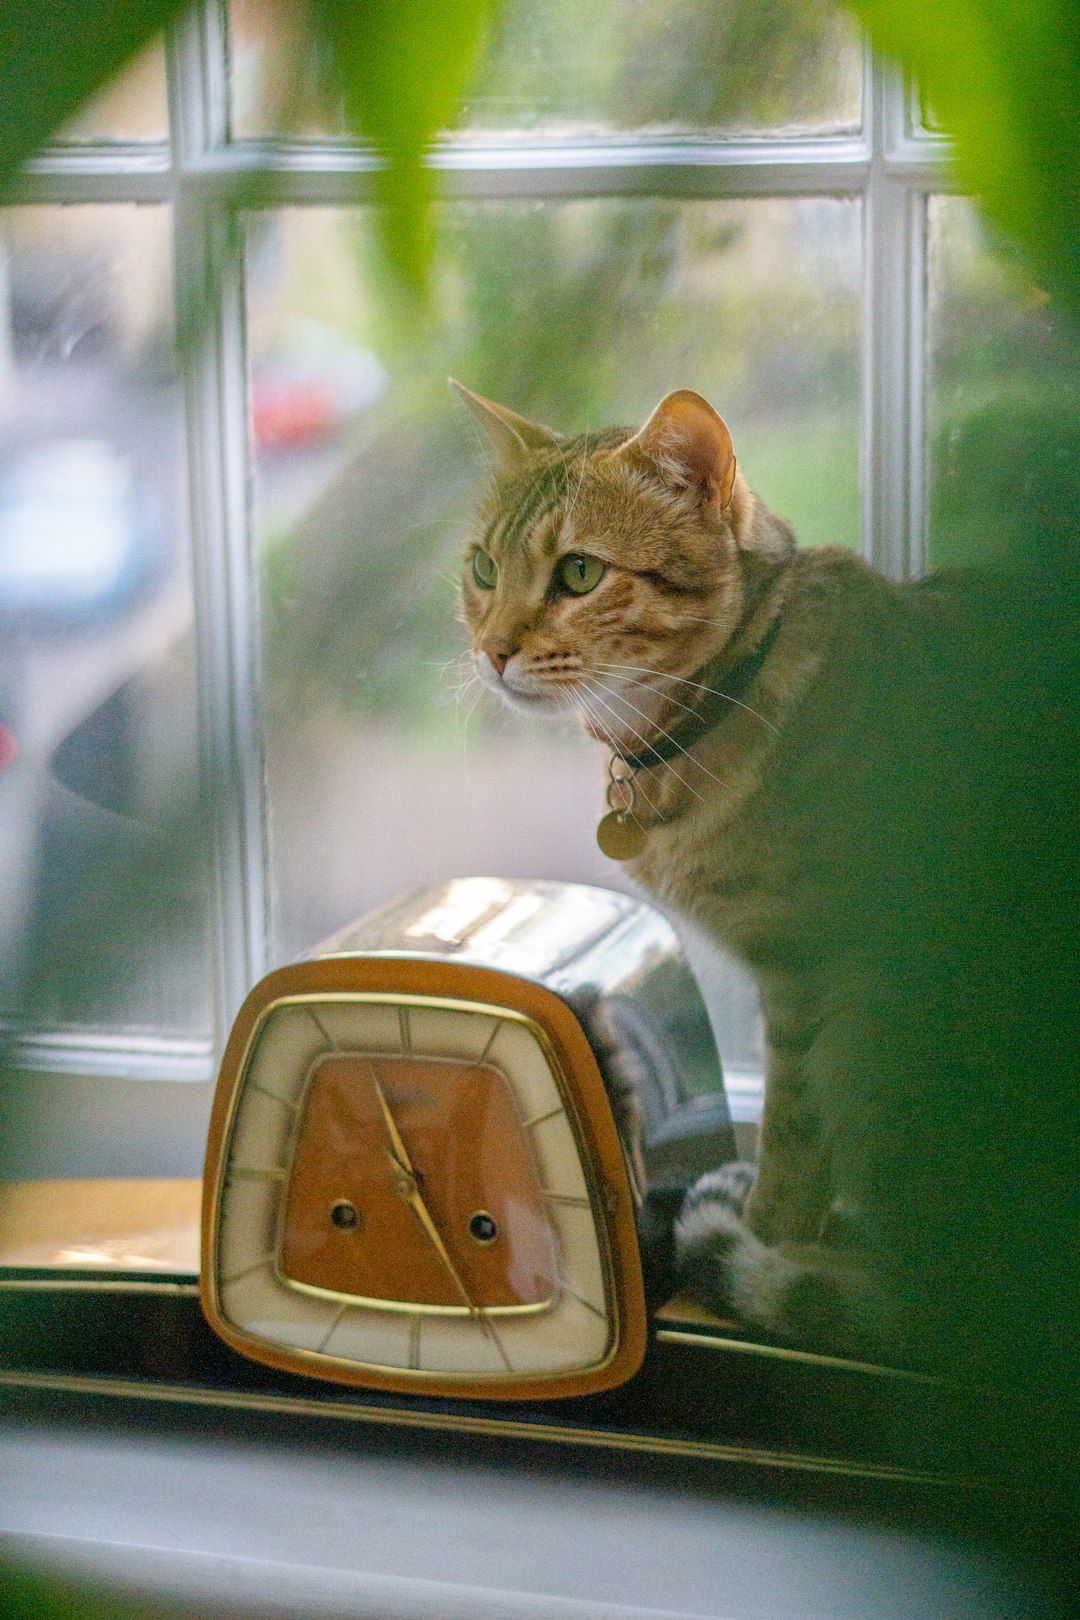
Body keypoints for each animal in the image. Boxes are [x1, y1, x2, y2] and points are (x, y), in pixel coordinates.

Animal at [453, 382, 1075, 1380]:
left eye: (579, 574)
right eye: (481, 567)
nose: (494, 648)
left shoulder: (808, 975)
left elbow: (791, 1133)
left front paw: (764, 1230)